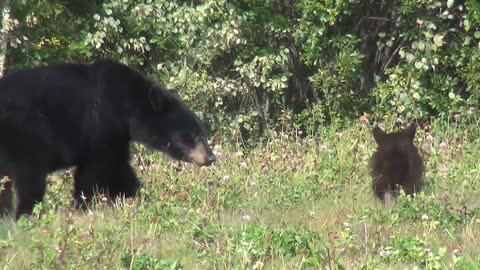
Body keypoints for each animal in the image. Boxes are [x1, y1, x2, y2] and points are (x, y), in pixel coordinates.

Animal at [0, 59, 216, 219]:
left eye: (202, 133)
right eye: (194, 135)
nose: (211, 157)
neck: (127, 107)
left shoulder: (118, 137)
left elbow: (120, 170)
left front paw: (140, 198)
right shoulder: (102, 126)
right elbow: (95, 171)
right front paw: (83, 206)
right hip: (26, 137)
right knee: (30, 180)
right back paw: (25, 215)